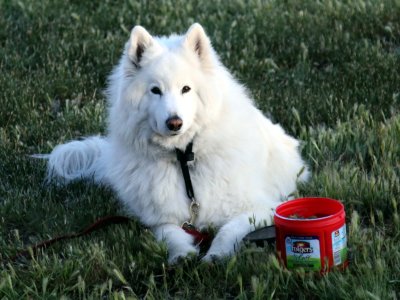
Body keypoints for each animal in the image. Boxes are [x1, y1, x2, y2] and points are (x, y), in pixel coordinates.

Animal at [46, 23, 310, 262]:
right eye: (155, 90)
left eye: (186, 89)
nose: (174, 123)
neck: (184, 158)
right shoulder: (160, 219)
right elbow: (169, 234)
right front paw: (182, 255)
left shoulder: (263, 208)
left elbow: (229, 230)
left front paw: (216, 255)